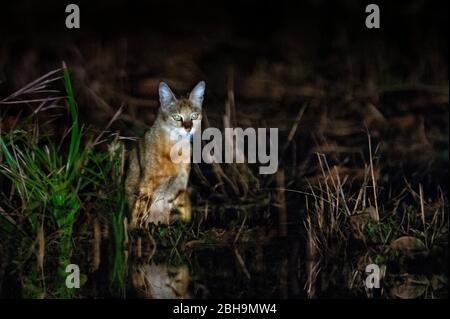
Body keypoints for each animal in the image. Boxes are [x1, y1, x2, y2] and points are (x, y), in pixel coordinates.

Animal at [125, 81, 206, 229]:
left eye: (194, 116)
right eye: (177, 117)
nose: (188, 128)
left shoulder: (179, 187)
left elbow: (173, 213)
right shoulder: (146, 185)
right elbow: (140, 213)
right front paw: (140, 230)